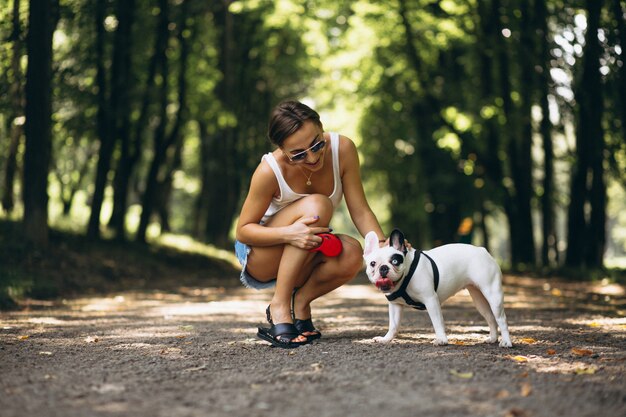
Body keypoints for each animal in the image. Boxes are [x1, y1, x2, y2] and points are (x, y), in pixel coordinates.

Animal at [364, 229, 510, 346]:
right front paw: (386, 339)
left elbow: (437, 322)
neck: (405, 277)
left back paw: (506, 342)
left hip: (493, 294)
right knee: (490, 318)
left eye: (395, 261)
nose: (383, 268)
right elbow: (393, 325)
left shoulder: (431, 300)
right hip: (479, 298)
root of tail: (482, 250)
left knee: (501, 318)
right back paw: (492, 338)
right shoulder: (395, 305)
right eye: (372, 263)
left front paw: (441, 340)